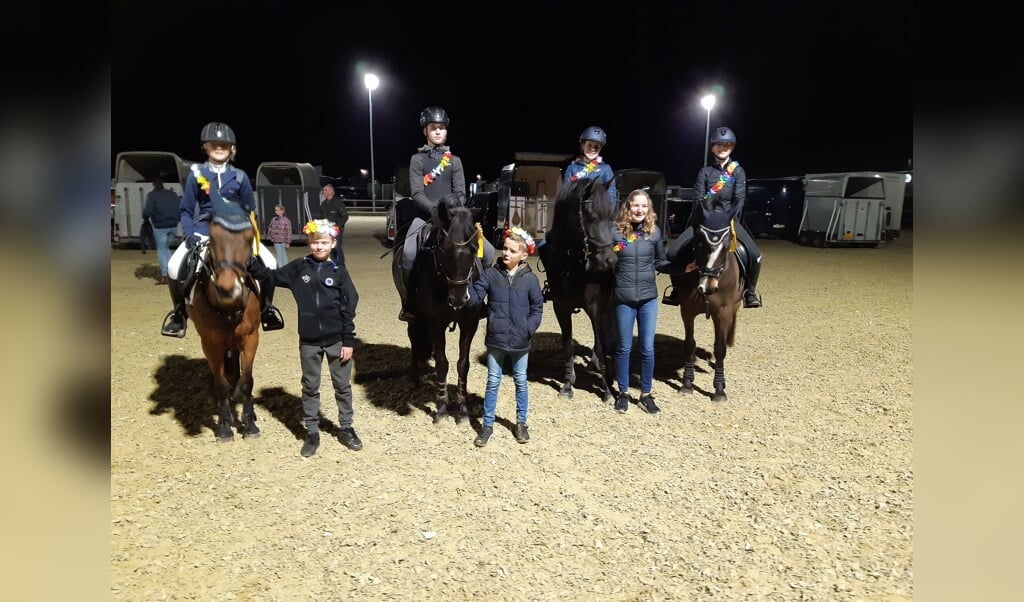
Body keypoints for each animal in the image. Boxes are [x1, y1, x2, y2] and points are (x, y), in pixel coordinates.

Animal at [189, 213, 264, 440]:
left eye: (249, 238)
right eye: (212, 238)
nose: (227, 289)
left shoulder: (250, 337)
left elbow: (247, 381)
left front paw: (250, 425)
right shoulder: (210, 343)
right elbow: (220, 384)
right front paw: (224, 426)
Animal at [393, 196, 485, 423]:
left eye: (474, 249)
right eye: (444, 250)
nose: (459, 299)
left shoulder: (470, 324)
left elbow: (463, 364)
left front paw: (462, 410)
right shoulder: (435, 324)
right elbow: (443, 363)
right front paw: (442, 410)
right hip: (413, 315)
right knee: (413, 338)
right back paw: (415, 378)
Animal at [536, 180, 614, 405]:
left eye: (611, 217)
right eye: (593, 218)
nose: (610, 260)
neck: (571, 262)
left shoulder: (595, 306)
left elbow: (600, 345)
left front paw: (607, 391)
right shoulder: (561, 307)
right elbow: (568, 345)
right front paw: (567, 385)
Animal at [663, 207, 745, 405]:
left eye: (727, 245)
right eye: (699, 243)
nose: (708, 287)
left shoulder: (723, 313)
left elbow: (720, 348)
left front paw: (719, 390)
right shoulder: (687, 311)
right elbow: (689, 345)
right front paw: (686, 384)